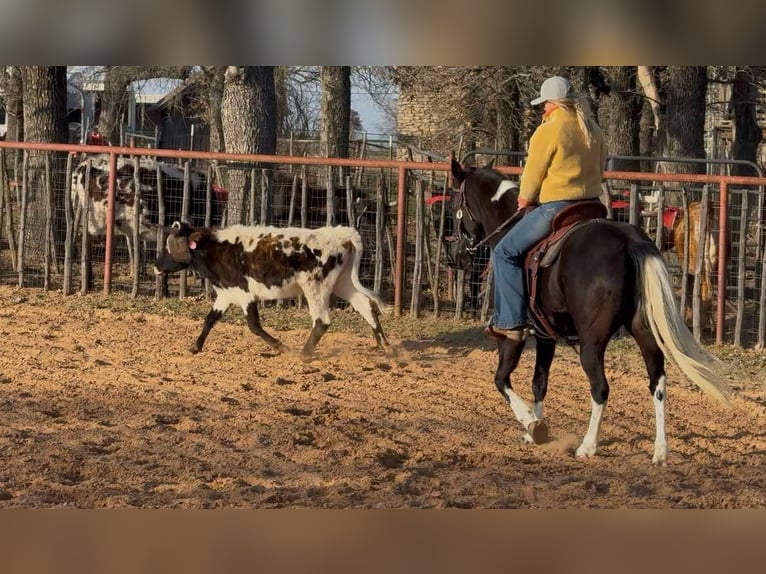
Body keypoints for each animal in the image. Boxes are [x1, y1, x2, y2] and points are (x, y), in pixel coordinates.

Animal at [153, 220, 392, 356]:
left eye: (170, 246)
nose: (155, 266)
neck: (215, 248)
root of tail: (342, 235)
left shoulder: (245, 295)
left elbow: (254, 326)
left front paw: (281, 347)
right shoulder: (226, 294)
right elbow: (209, 320)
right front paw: (195, 347)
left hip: (315, 286)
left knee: (322, 321)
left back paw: (303, 354)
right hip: (343, 283)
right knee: (366, 305)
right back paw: (384, 346)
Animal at [444, 160, 732, 466]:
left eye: (453, 205)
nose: (454, 256)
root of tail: (629, 241)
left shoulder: (512, 334)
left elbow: (501, 379)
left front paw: (531, 424)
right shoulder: (546, 336)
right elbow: (539, 382)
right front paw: (536, 427)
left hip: (591, 343)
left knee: (600, 387)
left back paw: (588, 445)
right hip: (644, 332)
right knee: (657, 383)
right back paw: (660, 451)